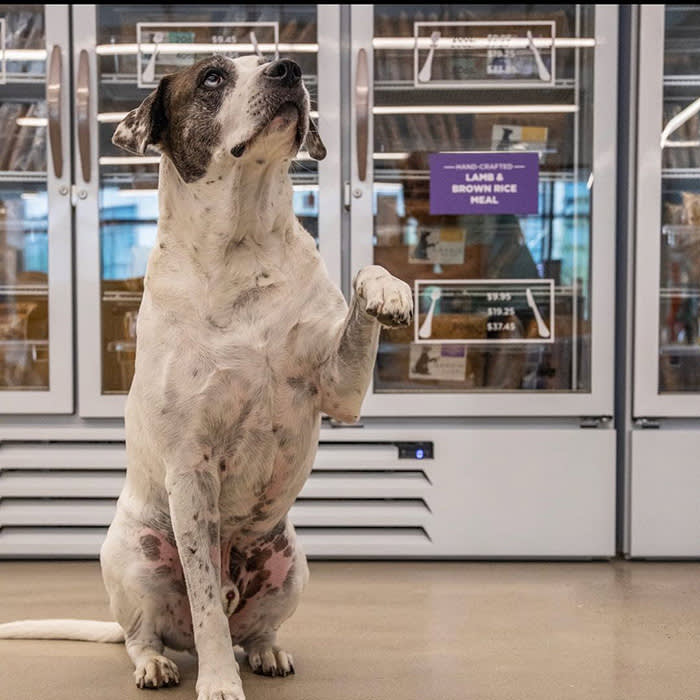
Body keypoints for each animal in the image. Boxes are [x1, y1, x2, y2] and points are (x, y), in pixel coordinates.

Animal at [0, 56, 410, 700]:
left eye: (272, 56)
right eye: (213, 77)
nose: (289, 70)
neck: (243, 245)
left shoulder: (339, 391)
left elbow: (365, 279)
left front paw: (388, 291)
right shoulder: (191, 468)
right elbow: (206, 608)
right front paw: (218, 683)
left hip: (292, 562)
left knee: (255, 628)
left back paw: (267, 652)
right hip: (133, 556)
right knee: (152, 631)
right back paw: (157, 664)